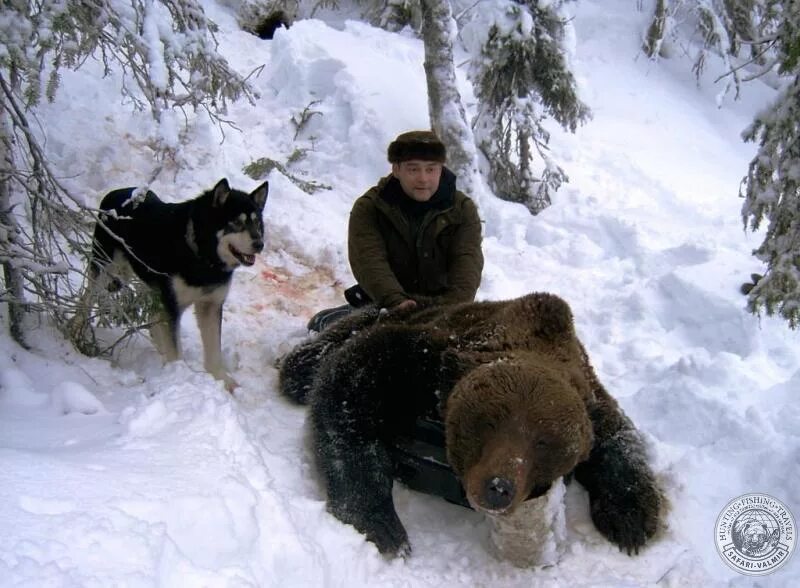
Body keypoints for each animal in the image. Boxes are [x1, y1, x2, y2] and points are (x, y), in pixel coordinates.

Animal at [84, 179, 268, 390]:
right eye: (236, 223)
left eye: (257, 223)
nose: (260, 244)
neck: (203, 257)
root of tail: (115, 193)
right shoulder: (172, 305)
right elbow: (175, 349)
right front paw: (180, 375)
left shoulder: (211, 305)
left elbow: (214, 348)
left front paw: (221, 378)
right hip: (104, 269)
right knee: (88, 298)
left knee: (152, 316)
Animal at [280, 292, 664, 560]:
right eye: (488, 423)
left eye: (544, 444)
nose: (498, 486)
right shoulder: (424, 356)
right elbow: (350, 384)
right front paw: (383, 526)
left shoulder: (591, 397)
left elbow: (619, 438)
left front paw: (633, 520)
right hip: (395, 311)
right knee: (317, 357)